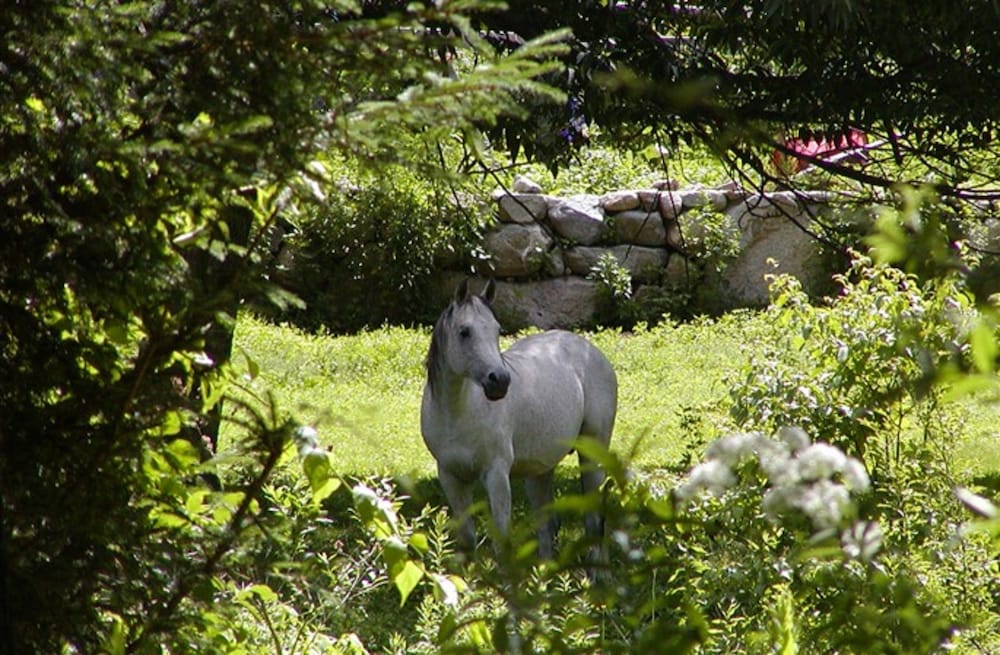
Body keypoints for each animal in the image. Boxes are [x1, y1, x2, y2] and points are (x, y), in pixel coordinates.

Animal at [420, 279, 617, 564]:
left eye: (496, 330)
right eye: (464, 332)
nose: (500, 381)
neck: (457, 415)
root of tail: (589, 349)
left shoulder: (496, 474)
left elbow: (501, 541)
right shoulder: (450, 477)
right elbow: (468, 540)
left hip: (592, 454)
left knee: (594, 523)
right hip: (540, 471)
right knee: (547, 526)